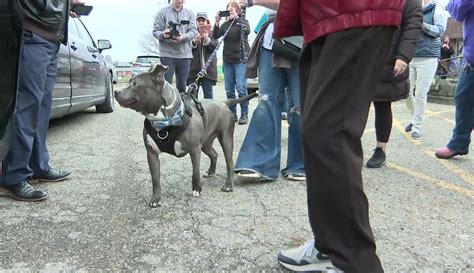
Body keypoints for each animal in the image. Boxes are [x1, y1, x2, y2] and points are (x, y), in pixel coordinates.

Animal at [114, 63, 258, 206]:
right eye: (129, 81)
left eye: (135, 84)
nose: (116, 92)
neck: (164, 121)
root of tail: (223, 103)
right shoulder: (152, 153)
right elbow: (155, 179)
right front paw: (155, 199)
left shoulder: (194, 149)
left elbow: (195, 171)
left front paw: (197, 189)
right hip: (205, 143)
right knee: (214, 154)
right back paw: (211, 172)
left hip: (225, 138)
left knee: (229, 162)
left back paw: (228, 185)